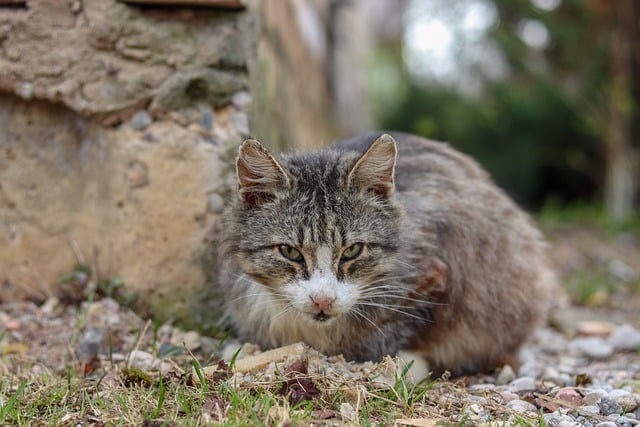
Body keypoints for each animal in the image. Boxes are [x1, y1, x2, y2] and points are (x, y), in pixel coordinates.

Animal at [219, 131, 556, 378]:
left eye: (353, 250)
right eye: (290, 252)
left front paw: (397, 363)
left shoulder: (438, 271)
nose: (323, 300)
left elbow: (400, 331)